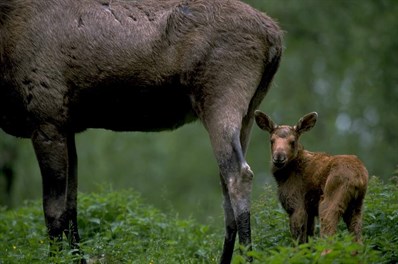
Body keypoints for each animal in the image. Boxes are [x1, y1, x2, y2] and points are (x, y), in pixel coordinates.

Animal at [0, 0, 282, 262]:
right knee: (226, 183)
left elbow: (53, 210)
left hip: (221, 100)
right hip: (247, 113)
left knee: (238, 176)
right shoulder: (67, 126)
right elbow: (72, 205)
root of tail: (276, 38)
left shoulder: (46, 118)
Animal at [253, 111, 368, 243]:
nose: (279, 157)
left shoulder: (296, 205)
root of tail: (359, 177)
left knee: (329, 233)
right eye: (272, 140)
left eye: (293, 141)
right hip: (356, 207)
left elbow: (298, 241)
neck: (283, 177)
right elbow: (309, 238)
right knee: (358, 239)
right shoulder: (310, 211)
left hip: (329, 201)